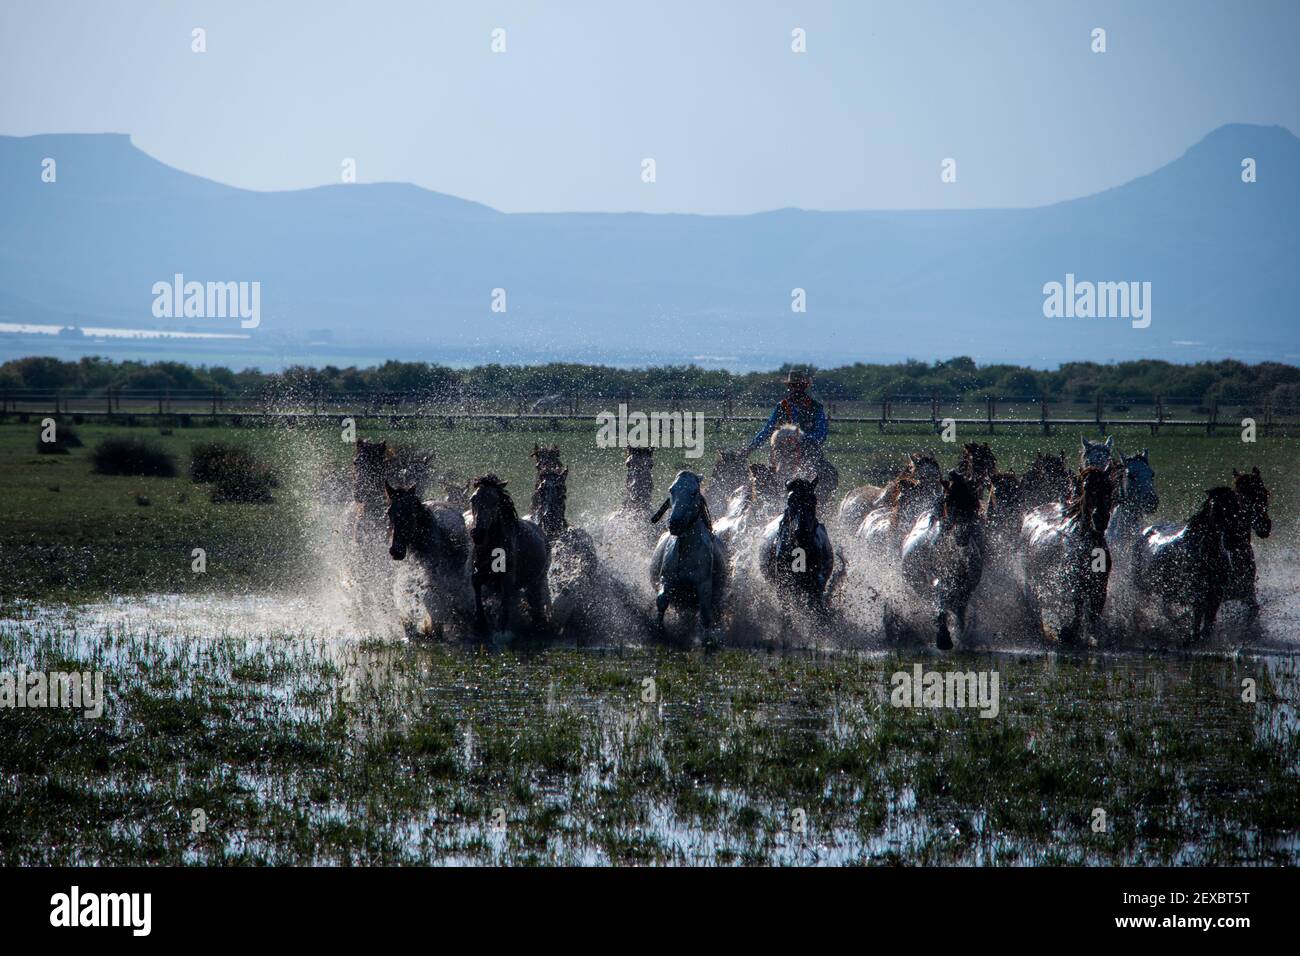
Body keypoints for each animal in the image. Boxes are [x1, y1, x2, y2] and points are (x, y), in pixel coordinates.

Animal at [467, 473, 548, 634]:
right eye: (473, 499)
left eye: (495, 501)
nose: (478, 534)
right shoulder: (478, 573)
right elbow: (476, 585)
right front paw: (480, 622)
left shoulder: (508, 579)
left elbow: (504, 609)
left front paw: (500, 632)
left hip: (537, 581)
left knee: (535, 604)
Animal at [899, 470, 987, 650]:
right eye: (948, 500)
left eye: (973, 501)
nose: (962, 534)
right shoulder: (932, 582)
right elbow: (940, 601)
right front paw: (943, 638)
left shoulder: (964, 585)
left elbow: (955, 605)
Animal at [1013, 463, 1118, 642]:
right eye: (1086, 487)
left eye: (1109, 487)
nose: (1100, 518)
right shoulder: (1074, 585)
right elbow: (1075, 612)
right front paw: (1066, 632)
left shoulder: (1099, 587)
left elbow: (1092, 618)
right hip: (1031, 578)